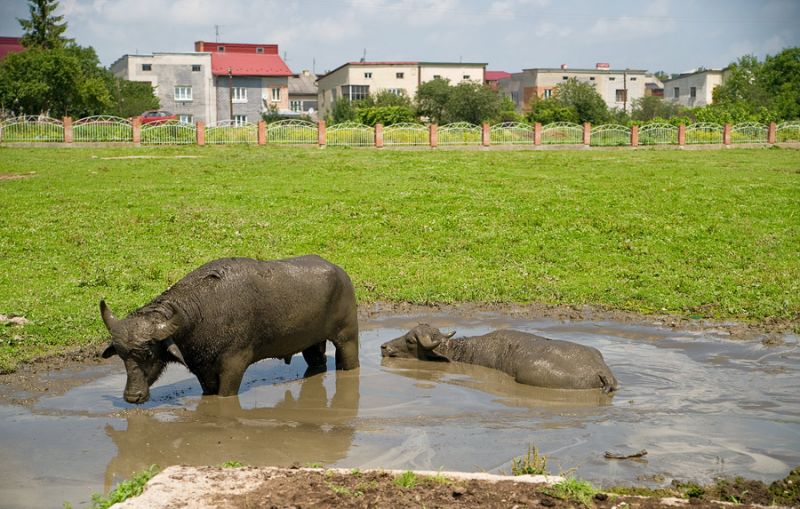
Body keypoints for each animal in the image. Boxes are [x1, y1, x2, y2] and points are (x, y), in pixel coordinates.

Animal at [100, 256, 360, 402]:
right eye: (122, 357)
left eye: (149, 354)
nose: (132, 397)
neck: (202, 314)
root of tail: (340, 273)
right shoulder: (203, 368)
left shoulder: (234, 364)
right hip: (312, 343)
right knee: (316, 360)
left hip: (347, 336)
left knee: (348, 358)